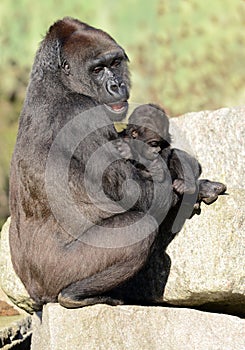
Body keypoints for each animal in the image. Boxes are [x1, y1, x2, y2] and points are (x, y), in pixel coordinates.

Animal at [9, 17, 172, 308]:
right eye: (97, 69)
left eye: (115, 63)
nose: (116, 85)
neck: (58, 81)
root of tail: (36, 295)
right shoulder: (84, 113)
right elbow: (138, 193)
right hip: (57, 276)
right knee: (141, 225)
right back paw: (75, 295)